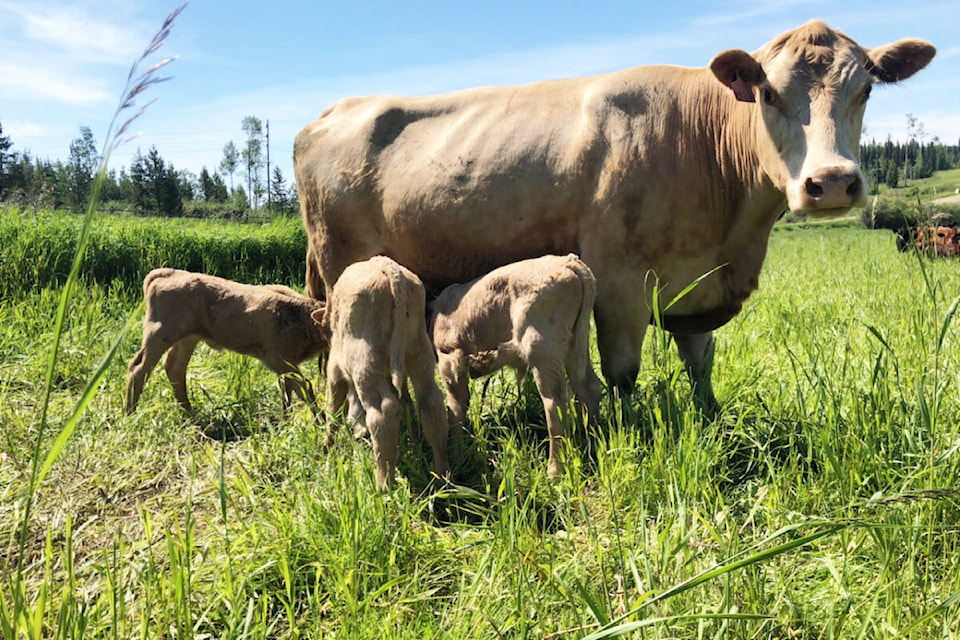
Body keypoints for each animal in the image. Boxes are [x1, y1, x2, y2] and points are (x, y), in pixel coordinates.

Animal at [124, 268, 328, 416]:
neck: (298, 316)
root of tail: (165, 272)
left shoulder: (285, 365)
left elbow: (287, 392)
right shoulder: (279, 359)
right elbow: (304, 387)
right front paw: (320, 422)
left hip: (188, 338)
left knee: (175, 368)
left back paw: (189, 413)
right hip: (159, 334)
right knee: (139, 368)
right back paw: (129, 413)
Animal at [294, 21, 936, 416]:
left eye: (865, 90)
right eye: (769, 94)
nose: (832, 183)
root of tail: (332, 111)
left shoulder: (695, 286)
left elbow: (700, 363)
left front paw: (711, 419)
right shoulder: (621, 284)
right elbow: (624, 372)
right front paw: (632, 432)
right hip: (341, 272)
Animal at [316, 255, 448, 490]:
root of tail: (388, 267)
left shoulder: (335, 369)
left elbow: (333, 408)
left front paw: (326, 446)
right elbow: (406, 401)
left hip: (364, 362)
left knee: (382, 411)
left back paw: (384, 484)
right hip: (419, 351)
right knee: (430, 402)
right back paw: (441, 475)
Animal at [432, 252, 604, 478]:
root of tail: (568, 262)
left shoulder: (450, 358)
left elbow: (455, 406)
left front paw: (456, 453)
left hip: (541, 347)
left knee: (555, 401)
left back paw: (554, 470)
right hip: (575, 343)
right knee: (588, 387)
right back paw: (592, 442)